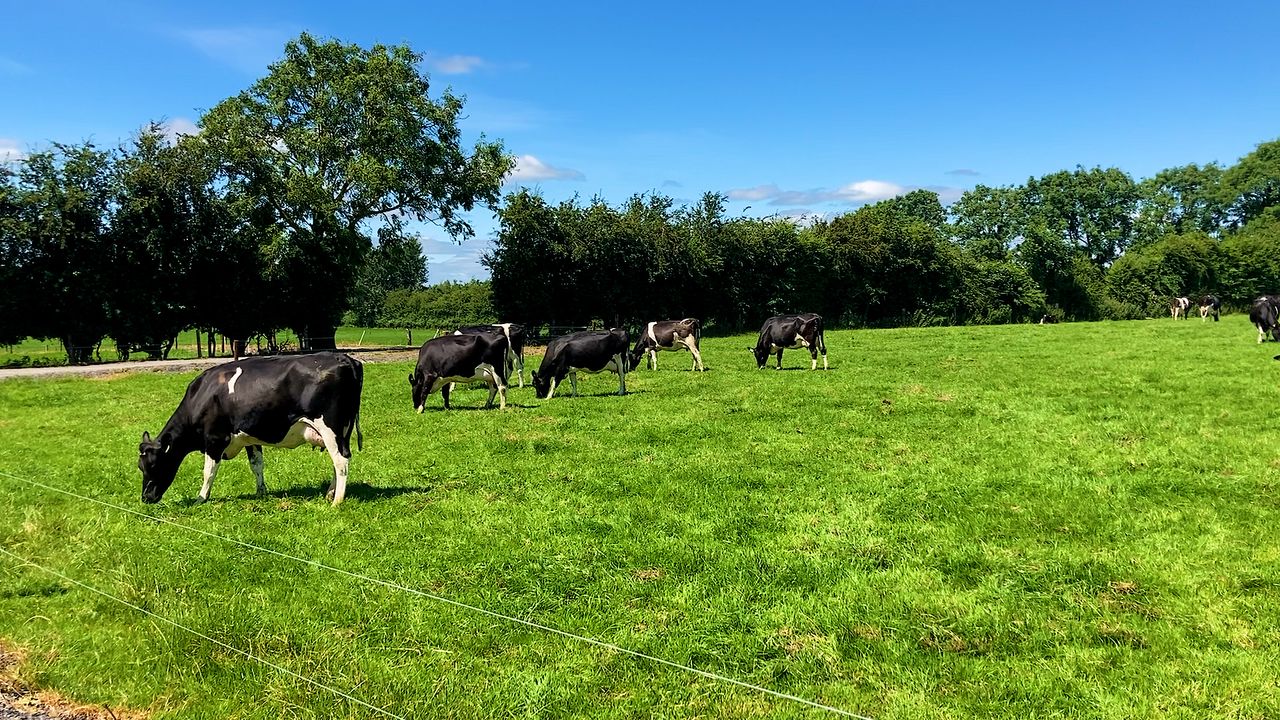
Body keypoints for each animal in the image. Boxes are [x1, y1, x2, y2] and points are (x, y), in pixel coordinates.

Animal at [137, 353, 364, 506]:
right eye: (141, 467)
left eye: (152, 465)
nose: (146, 498)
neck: (202, 395)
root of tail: (345, 358)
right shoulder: (249, 438)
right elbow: (257, 465)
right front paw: (261, 492)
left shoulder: (214, 439)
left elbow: (208, 471)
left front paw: (201, 498)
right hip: (342, 432)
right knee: (338, 461)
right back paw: (329, 494)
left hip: (331, 428)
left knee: (341, 461)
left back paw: (337, 501)